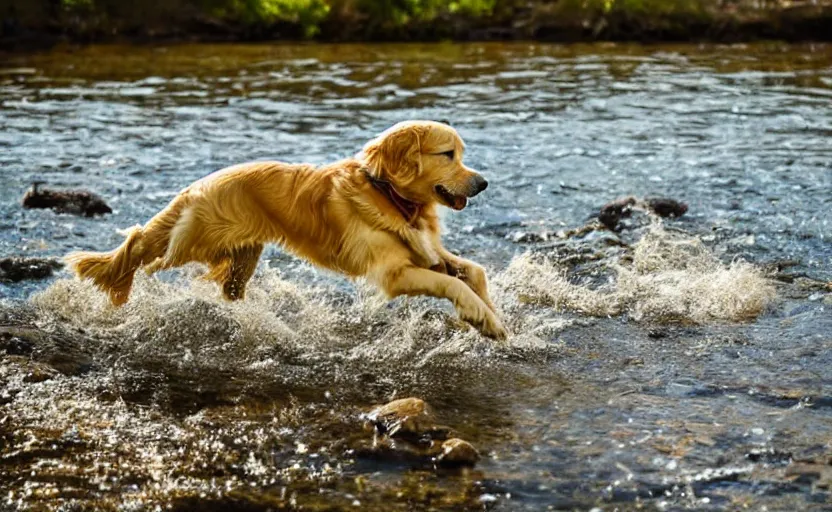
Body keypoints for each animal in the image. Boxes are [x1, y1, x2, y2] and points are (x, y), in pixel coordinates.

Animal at [66, 121, 508, 340]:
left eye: (461, 155)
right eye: (447, 155)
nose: (483, 182)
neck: (389, 195)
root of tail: (197, 185)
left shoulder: (427, 251)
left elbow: (473, 272)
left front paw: (490, 316)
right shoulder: (394, 274)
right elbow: (452, 284)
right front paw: (481, 317)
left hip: (242, 258)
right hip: (190, 244)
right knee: (143, 251)